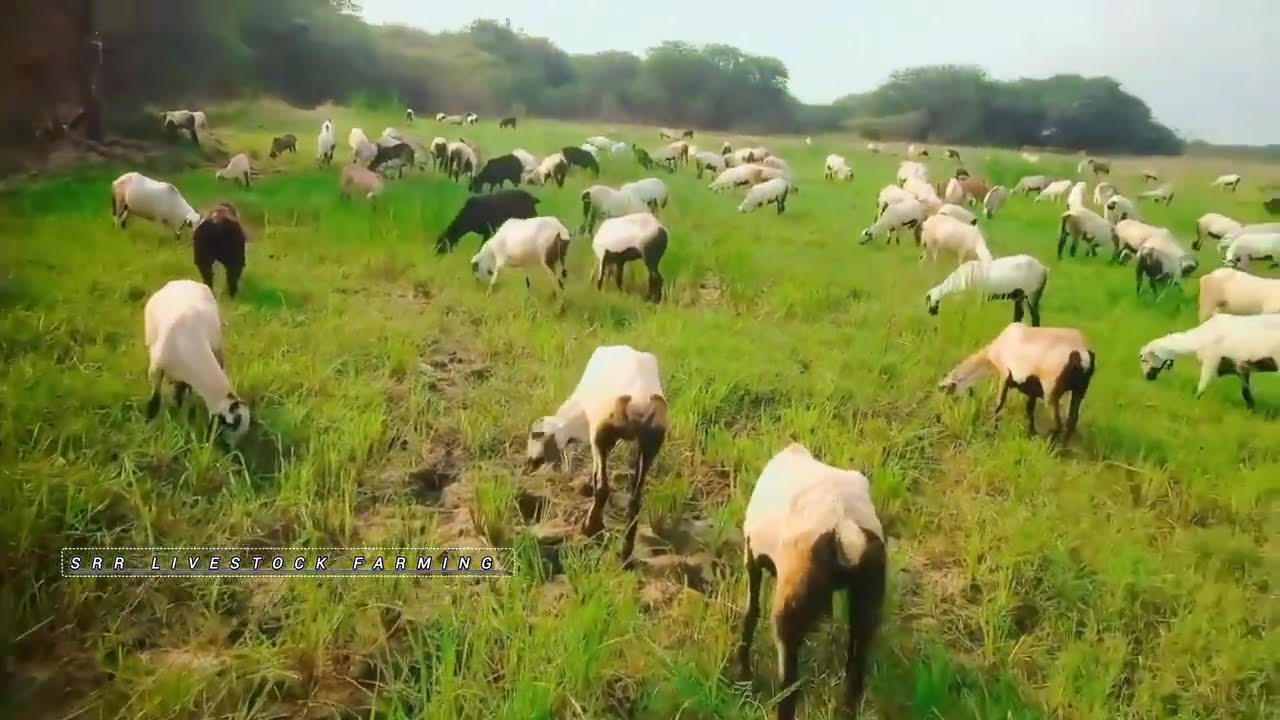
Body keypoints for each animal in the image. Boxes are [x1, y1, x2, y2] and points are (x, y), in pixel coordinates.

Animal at [142, 279, 250, 444]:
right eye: (232, 426)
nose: (231, 449)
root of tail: (184, 281)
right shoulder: (156, 369)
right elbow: (155, 395)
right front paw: (150, 417)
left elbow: (181, 390)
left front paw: (180, 408)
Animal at [525, 344, 668, 563]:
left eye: (534, 435)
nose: (529, 462)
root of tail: (640, 401)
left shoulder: (595, 434)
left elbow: (596, 476)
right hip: (651, 440)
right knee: (635, 499)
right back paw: (625, 553)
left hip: (602, 430)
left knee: (603, 488)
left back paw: (590, 527)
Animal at [737, 442, 886, 720]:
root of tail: (844, 528)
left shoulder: (752, 555)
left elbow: (751, 612)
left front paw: (742, 674)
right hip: (867, 602)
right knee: (854, 680)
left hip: (790, 607)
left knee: (789, 686)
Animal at [938, 322, 1095, 444]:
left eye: (946, 390)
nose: (940, 415)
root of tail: (1082, 355)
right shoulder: (1032, 389)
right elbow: (1029, 410)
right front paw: (1030, 433)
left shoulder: (1005, 374)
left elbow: (998, 406)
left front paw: (992, 432)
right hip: (1080, 389)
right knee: (1072, 421)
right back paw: (1061, 449)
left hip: (1051, 390)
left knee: (1059, 424)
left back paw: (1049, 444)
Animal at [1138, 313, 1280, 409]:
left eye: (1143, 358)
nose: (1148, 377)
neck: (1197, 339)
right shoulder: (1241, 367)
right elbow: (1246, 393)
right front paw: (1251, 410)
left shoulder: (1211, 360)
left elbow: (1202, 386)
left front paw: (1194, 402)